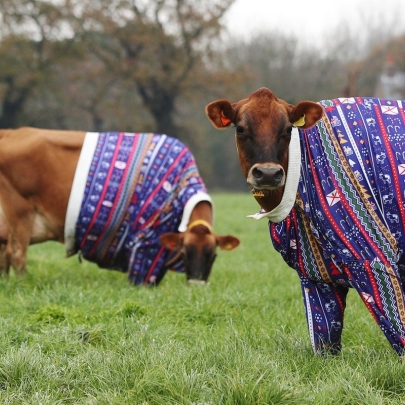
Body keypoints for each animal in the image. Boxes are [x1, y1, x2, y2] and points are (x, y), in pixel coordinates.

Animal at [0, 128, 240, 286]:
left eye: (213, 256)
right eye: (184, 254)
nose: (197, 286)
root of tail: (11, 132)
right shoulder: (145, 241)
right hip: (20, 210)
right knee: (17, 253)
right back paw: (22, 284)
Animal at [208, 87, 405, 356]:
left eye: (287, 129)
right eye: (240, 128)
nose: (268, 173)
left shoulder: (374, 258)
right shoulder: (314, 275)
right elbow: (324, 339)